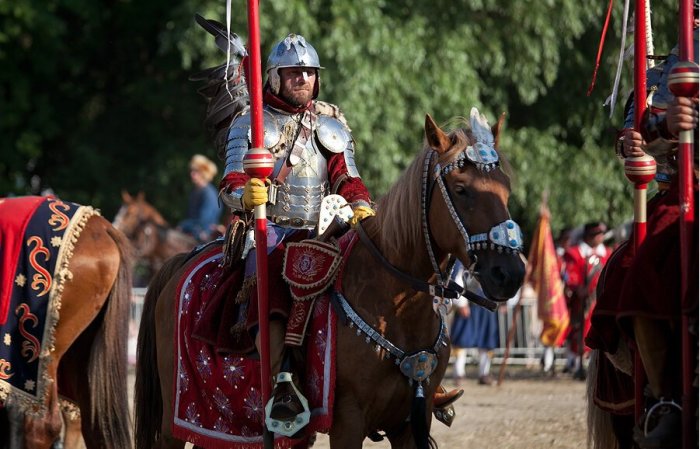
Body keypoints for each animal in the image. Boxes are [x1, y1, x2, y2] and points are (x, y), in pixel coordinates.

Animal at [133, 110, 524, 446]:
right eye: (461, 189)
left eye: (505, 187)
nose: (510, 273)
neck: (395, 304)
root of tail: (185, 259)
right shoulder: (348, 420)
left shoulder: (412, 420)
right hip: (175, 421)